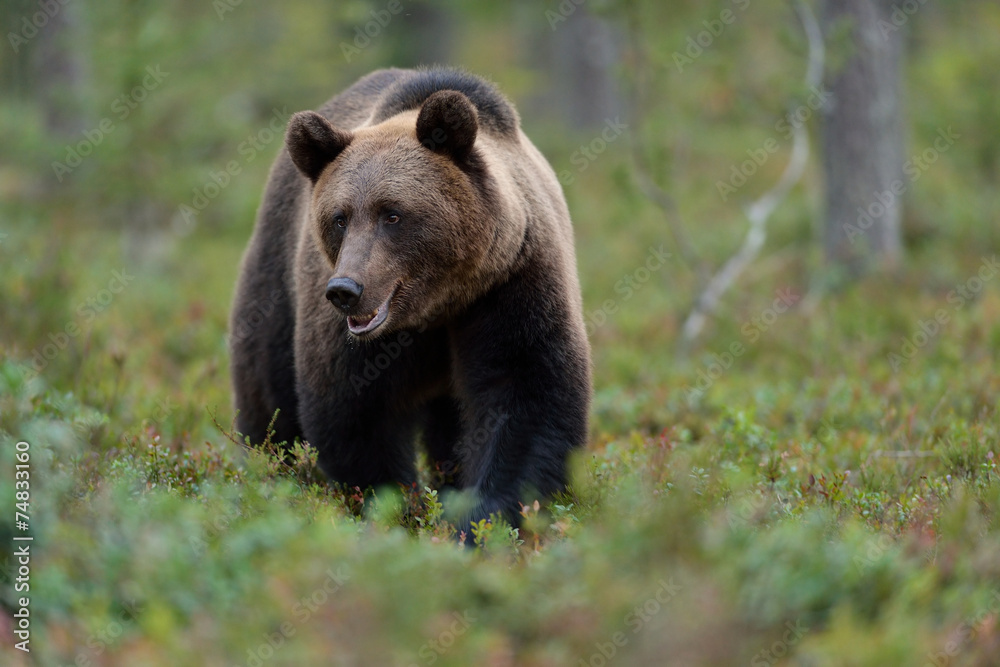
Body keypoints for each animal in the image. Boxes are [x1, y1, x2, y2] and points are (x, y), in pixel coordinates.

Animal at [230, 66, 588, 528]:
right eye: (339, 218)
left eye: (393, 214)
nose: (345, 291)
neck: (437, 304)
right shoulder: (347, 332)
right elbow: (354, 410)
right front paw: (396, 506)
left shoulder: (513, 282)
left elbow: (527, 392)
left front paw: (481, 518)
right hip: (277, 274)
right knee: (268, 393)